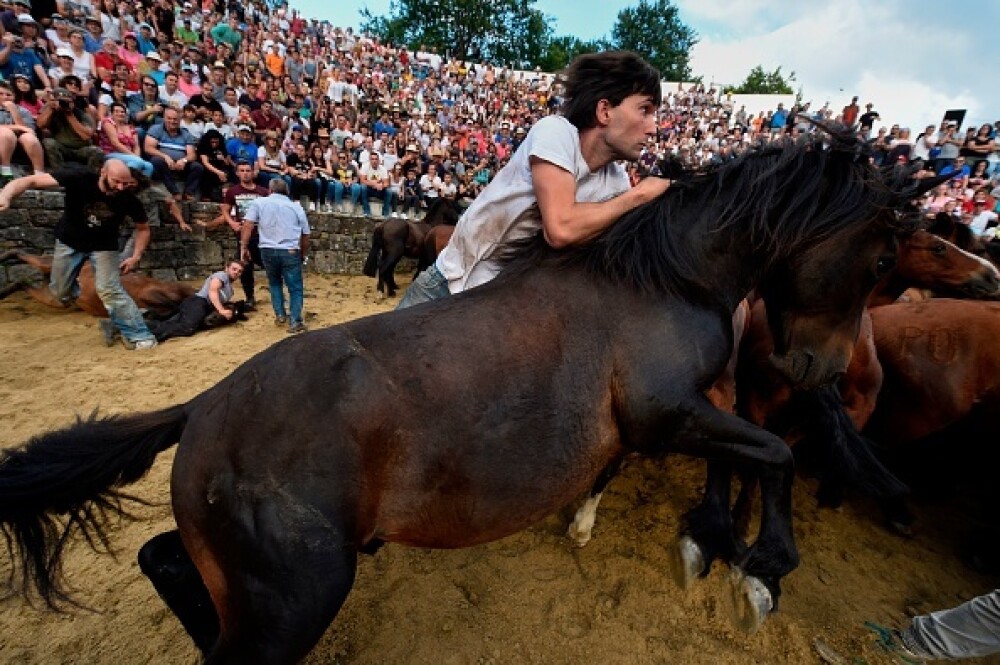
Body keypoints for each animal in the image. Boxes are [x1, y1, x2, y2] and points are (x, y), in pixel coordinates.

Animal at [0, 252, 195, 320]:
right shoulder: (150, 293)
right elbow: (174, 307)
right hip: (52, 266)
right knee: (21, 255)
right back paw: (4, 257)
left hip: (57, 297)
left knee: (22, 281)